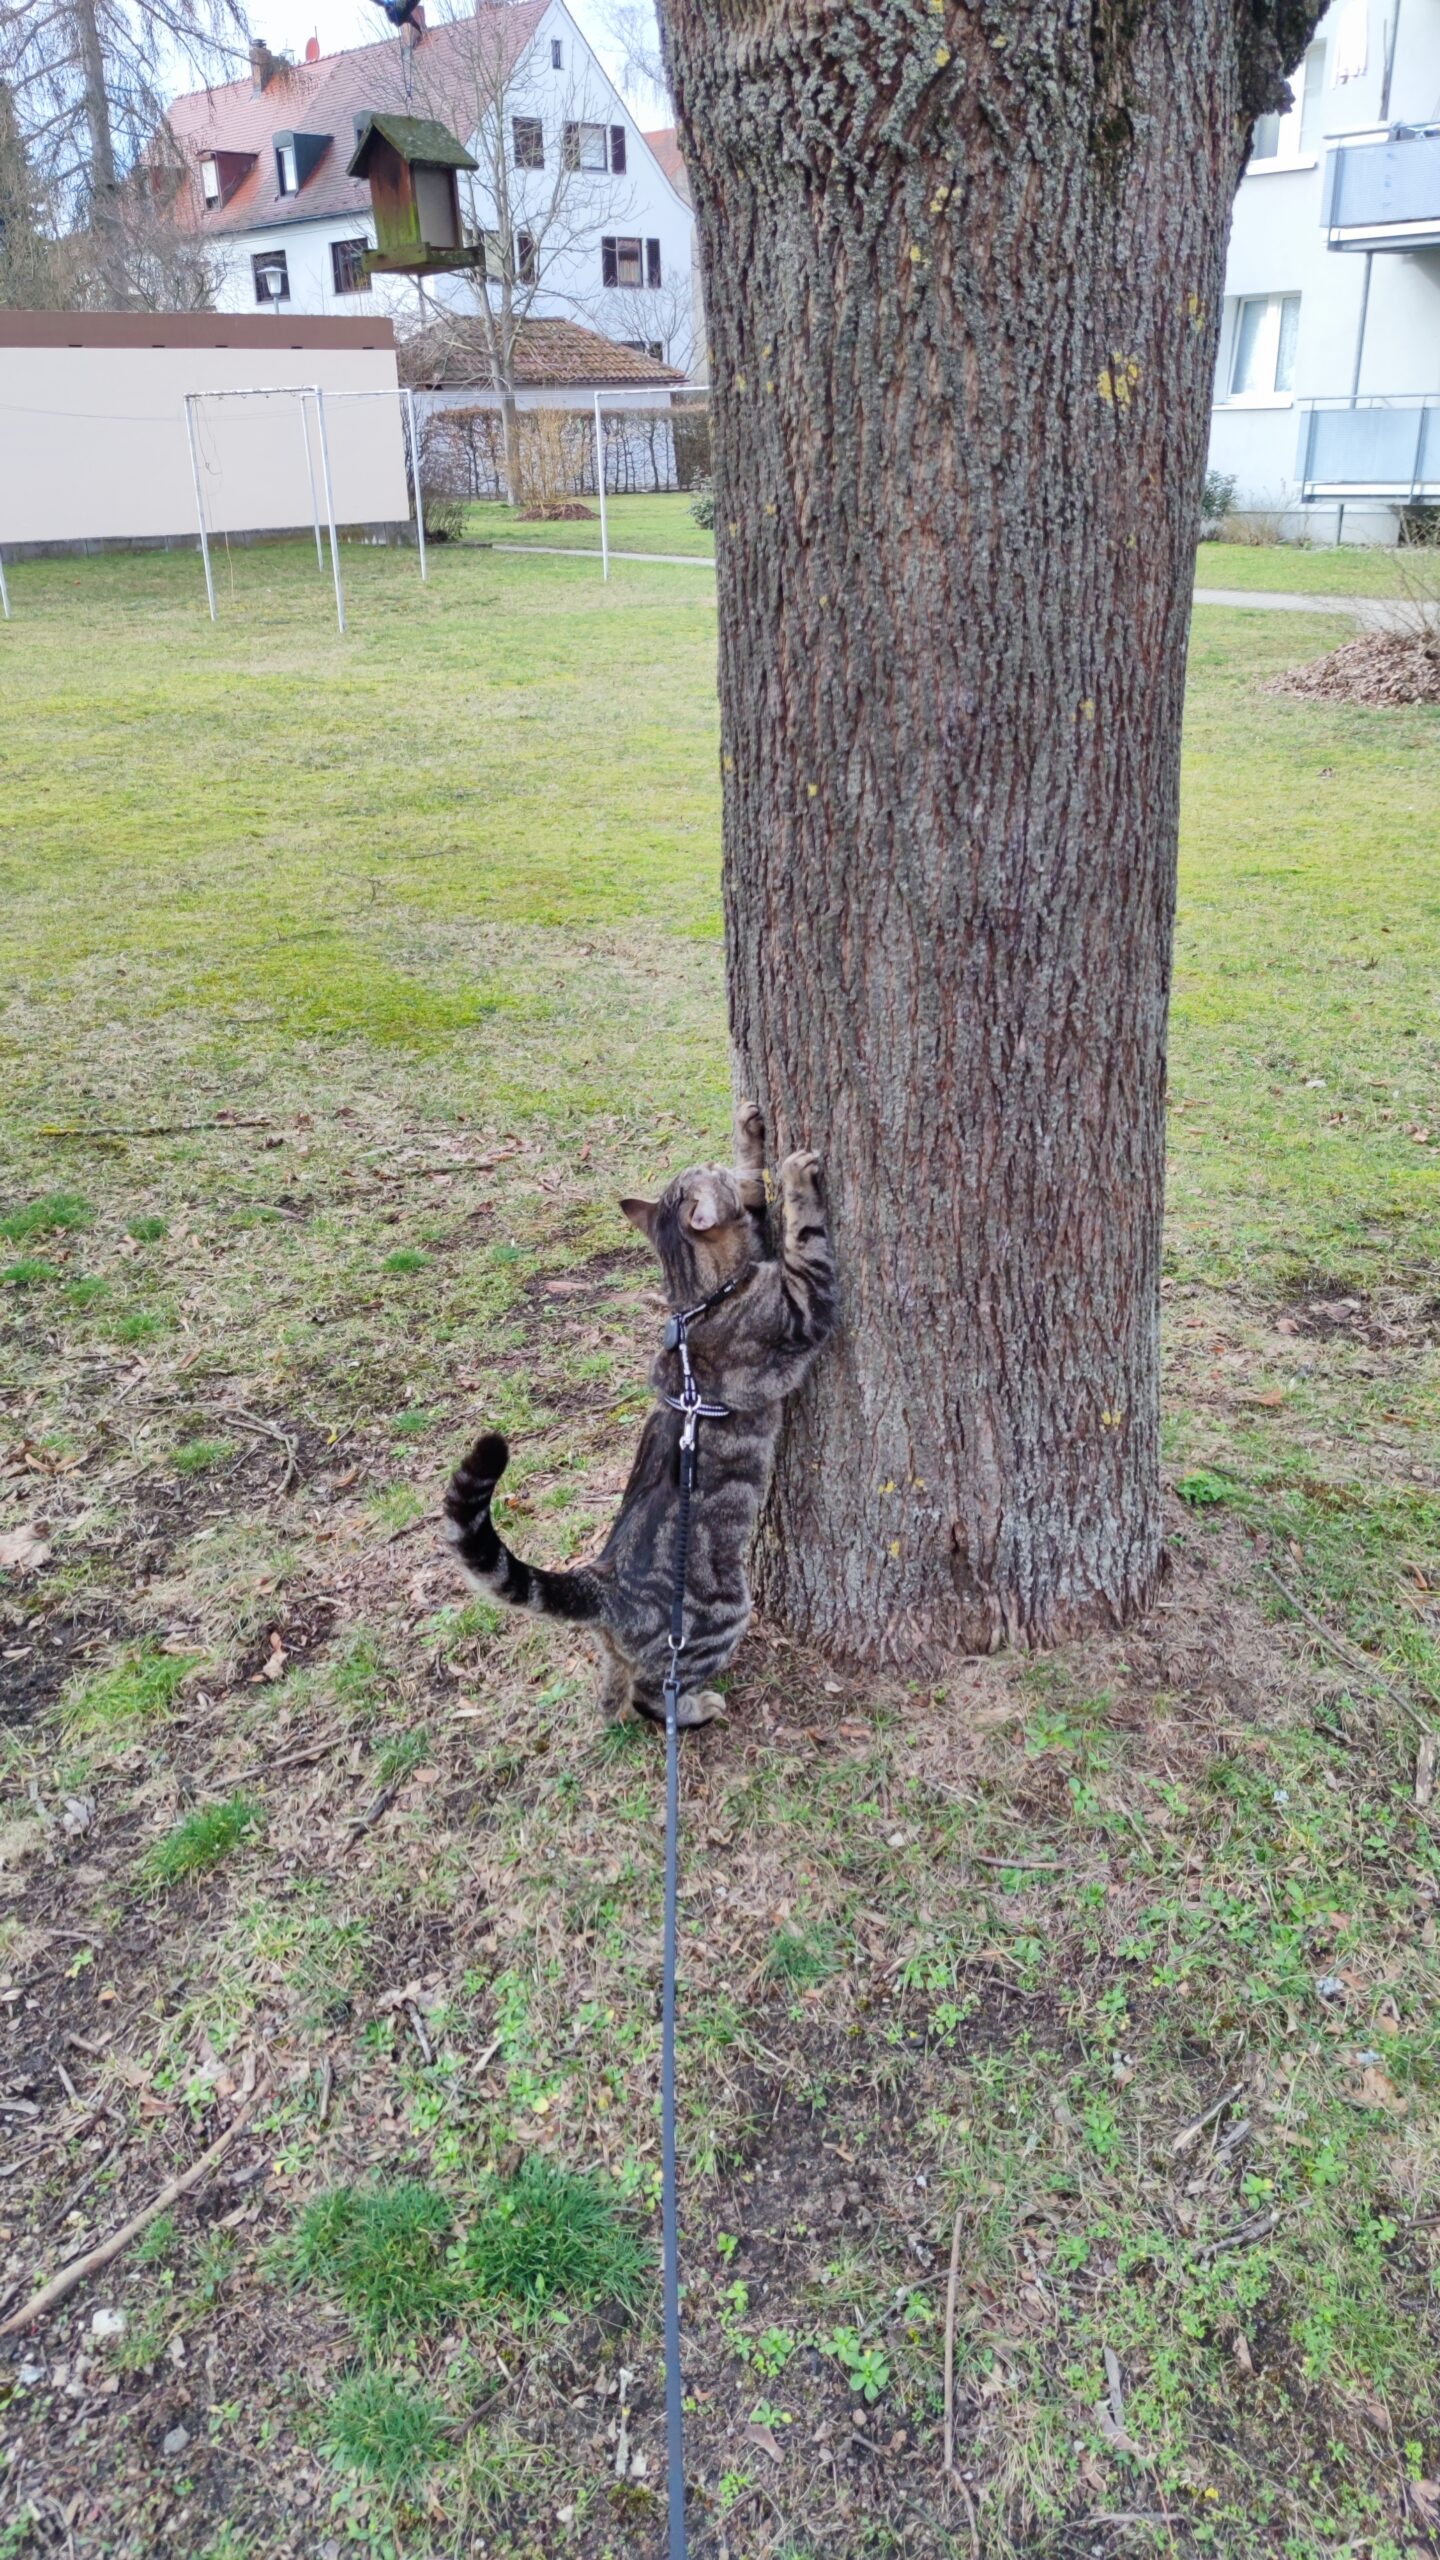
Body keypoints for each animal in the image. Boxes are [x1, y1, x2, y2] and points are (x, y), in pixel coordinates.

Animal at [443, 1100, 835, 1720]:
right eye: (706, 1171)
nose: (709, 1160)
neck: (697, 1301)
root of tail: (601, 1583)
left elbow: (754, 1187)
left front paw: (748, 1131)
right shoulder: (801, 1306)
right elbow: (806, 1236)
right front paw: (797, 1178)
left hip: (618, 1654)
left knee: (613, 1697)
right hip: (723, 1617)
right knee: (656, 1697)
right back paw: (699, 1708)